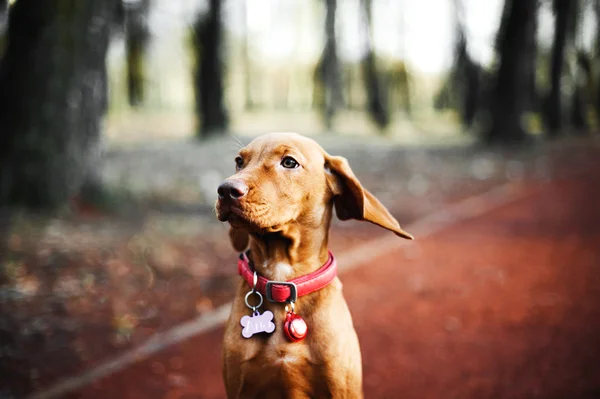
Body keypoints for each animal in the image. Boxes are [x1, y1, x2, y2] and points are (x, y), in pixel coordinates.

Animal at [216, 133, 412, 398]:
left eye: (289, 162)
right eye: (239, 161)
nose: (226, 190)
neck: (283, 280)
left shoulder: (341, 387)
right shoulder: (239, 385)